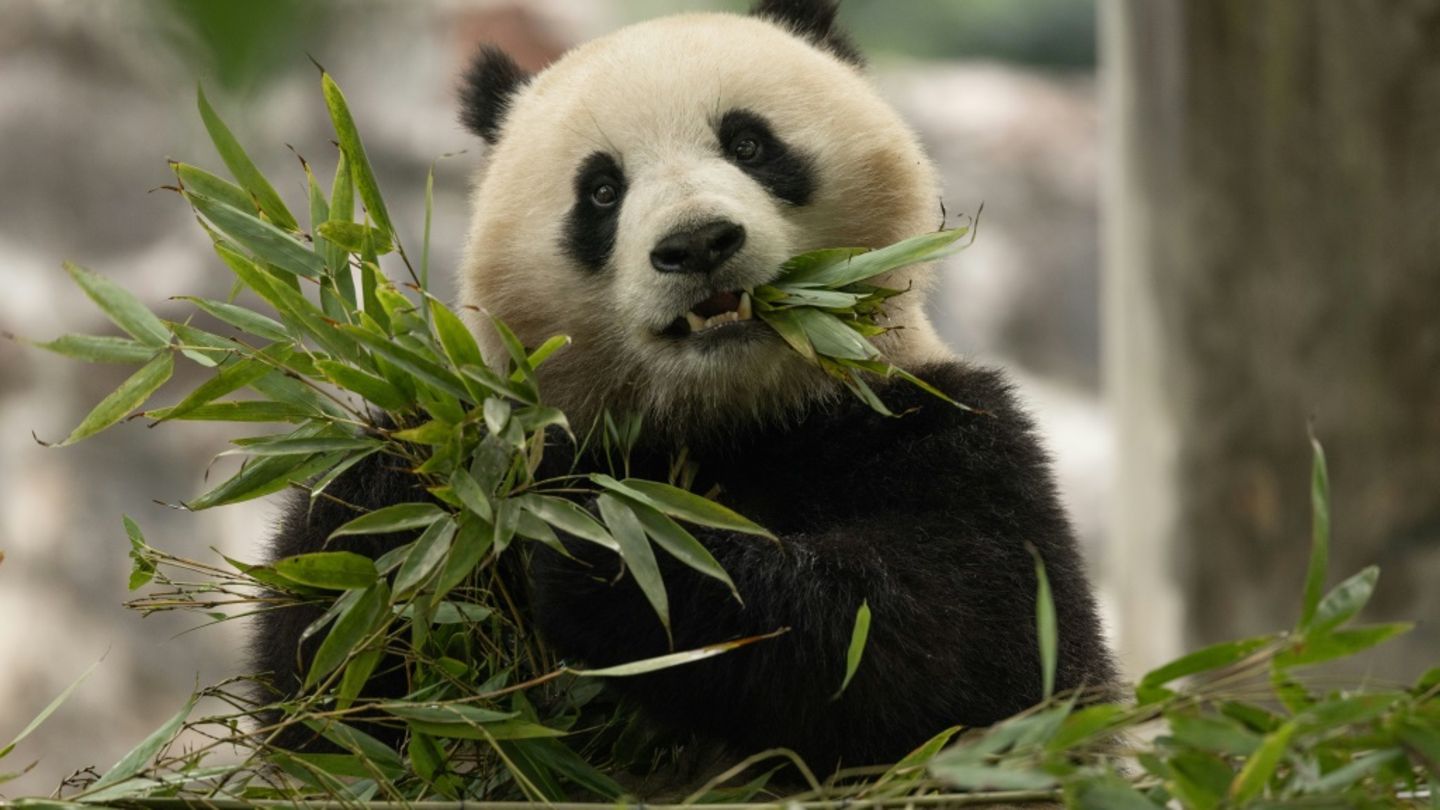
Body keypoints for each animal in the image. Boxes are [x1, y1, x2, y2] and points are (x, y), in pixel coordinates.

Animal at [255, 0, 1116, 776]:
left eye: (749, 143)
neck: (728, 416)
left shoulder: (941, 427)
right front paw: (410, 492)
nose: (698, 243)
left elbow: (972, 652)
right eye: (601, 190)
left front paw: (607, 553)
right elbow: (331, 699)